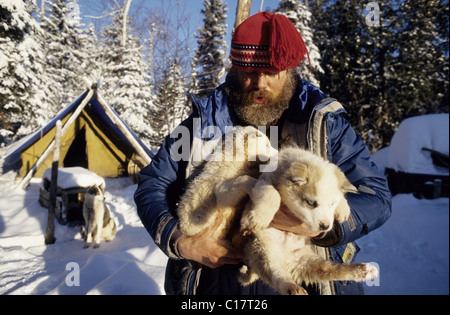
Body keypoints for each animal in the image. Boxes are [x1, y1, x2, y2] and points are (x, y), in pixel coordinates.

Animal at [178, 126, 378, 296]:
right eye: (310, 203)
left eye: (331, 204)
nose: (325, 226)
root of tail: (286, 258)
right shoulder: (241, 187)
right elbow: (267, 192)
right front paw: (258, 217)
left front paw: (343, 210)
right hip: (264, 251)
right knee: (277, 275)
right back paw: (293, 288)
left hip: (304, 260)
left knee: (327, 269)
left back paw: (363, 270)